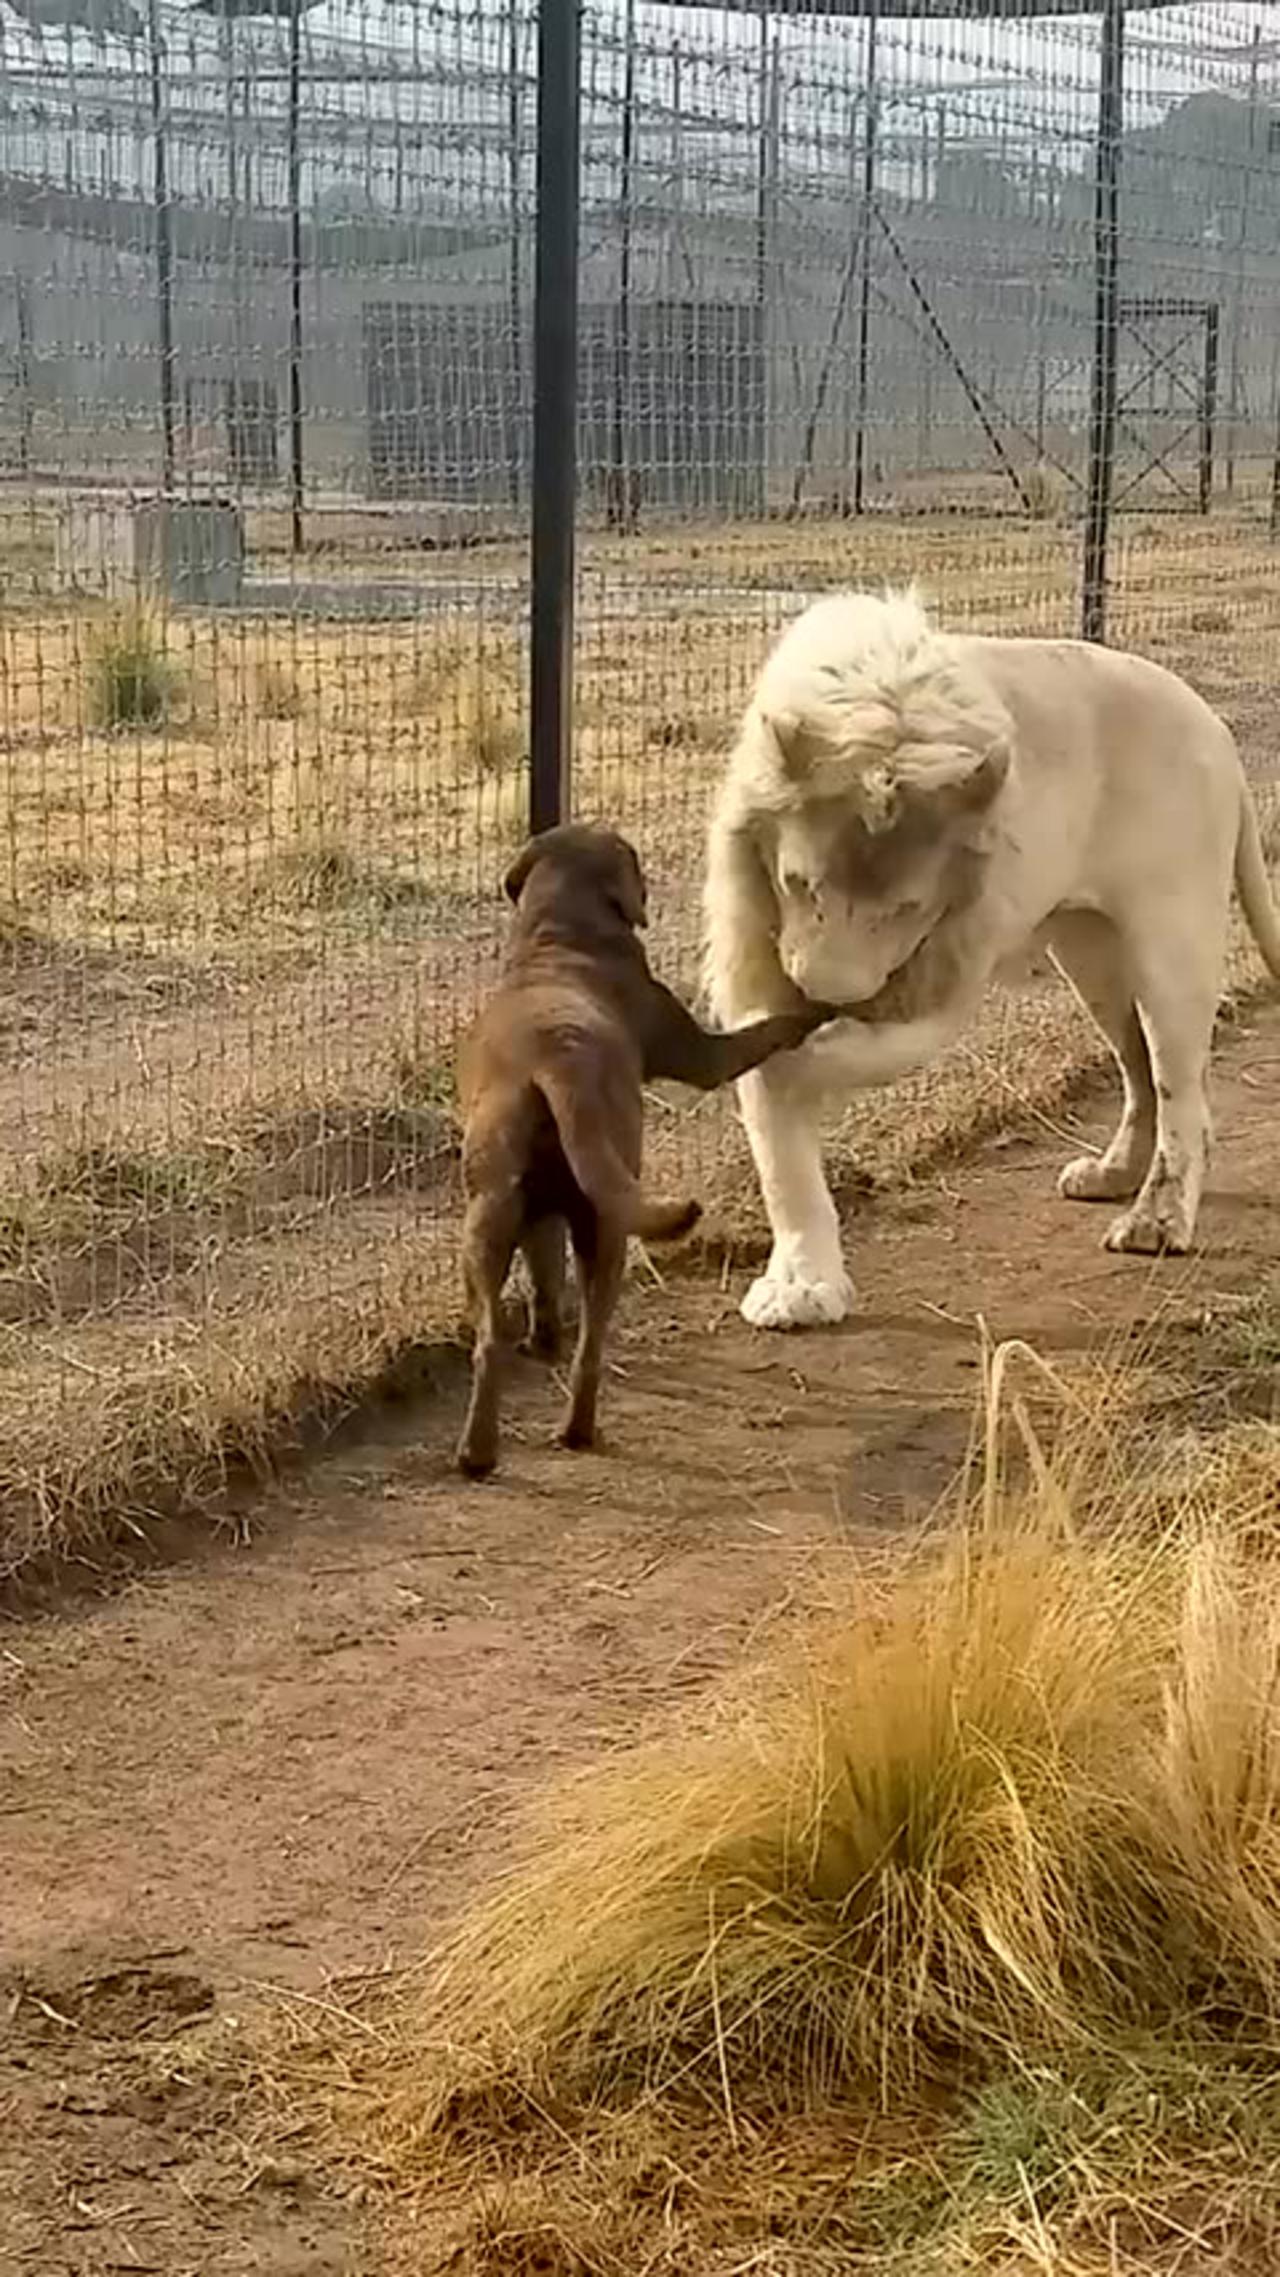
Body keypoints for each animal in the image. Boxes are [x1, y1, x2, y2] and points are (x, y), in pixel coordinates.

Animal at [457, 824, 838, 1475]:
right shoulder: (703, 1055)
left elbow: (543, 1277)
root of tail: (555, 1065)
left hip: (490, 1219)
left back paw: (478, 1451)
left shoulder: (539, 1219)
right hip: (608, 1226)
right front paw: (811, 1008)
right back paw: (578, 1431)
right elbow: (764, 1032)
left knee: (491, 1340)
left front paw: (542, 1338)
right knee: (591, 1346)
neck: (560, 936)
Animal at [701, 587, 1275, 1329]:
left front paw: (802, 1057)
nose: (825, 993)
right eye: (800, 883)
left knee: (1184, 1095)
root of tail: (1217, 730)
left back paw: (1157, 1221)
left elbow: (849, 1055)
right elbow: (781, 1158)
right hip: (1091, 956)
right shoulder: (756, 953)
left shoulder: (950, 962)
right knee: (1140, 1071)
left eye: (909, 908)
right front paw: (801, 1286)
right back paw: (1111, 1175)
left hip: (1171, 943)